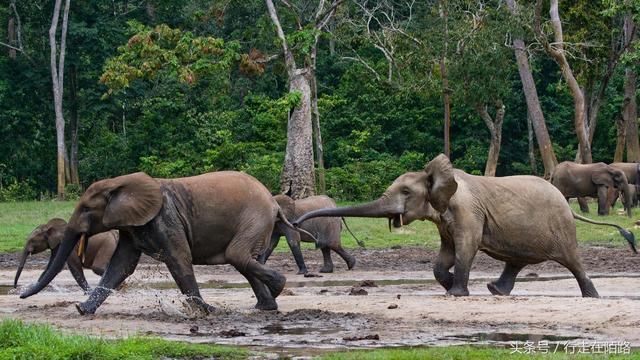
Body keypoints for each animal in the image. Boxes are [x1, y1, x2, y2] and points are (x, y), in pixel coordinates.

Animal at [18, 170, 308, 314]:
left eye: (87, 209)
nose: (19, 293)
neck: (120, 182)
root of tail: (273, 201)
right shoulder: (131, 225)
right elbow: (120, 266)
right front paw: (83, 310)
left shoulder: (166, 218)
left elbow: (179, 260)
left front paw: (208, 310)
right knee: (243, 260)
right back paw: (265, 305)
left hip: (255, 217)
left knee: (237, 255)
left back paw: (278, 287)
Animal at [294, 155, 636, 298]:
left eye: (405, 192)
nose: (296, 222)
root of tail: (565, 206)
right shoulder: (446, 219)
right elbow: (444, 255)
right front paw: (448, 287)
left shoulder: (467, 212)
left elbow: (465, 249)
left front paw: (455, 294)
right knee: (516, 261)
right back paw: (496, 291)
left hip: (561, 227)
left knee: (572, 260)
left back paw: (592, 297)